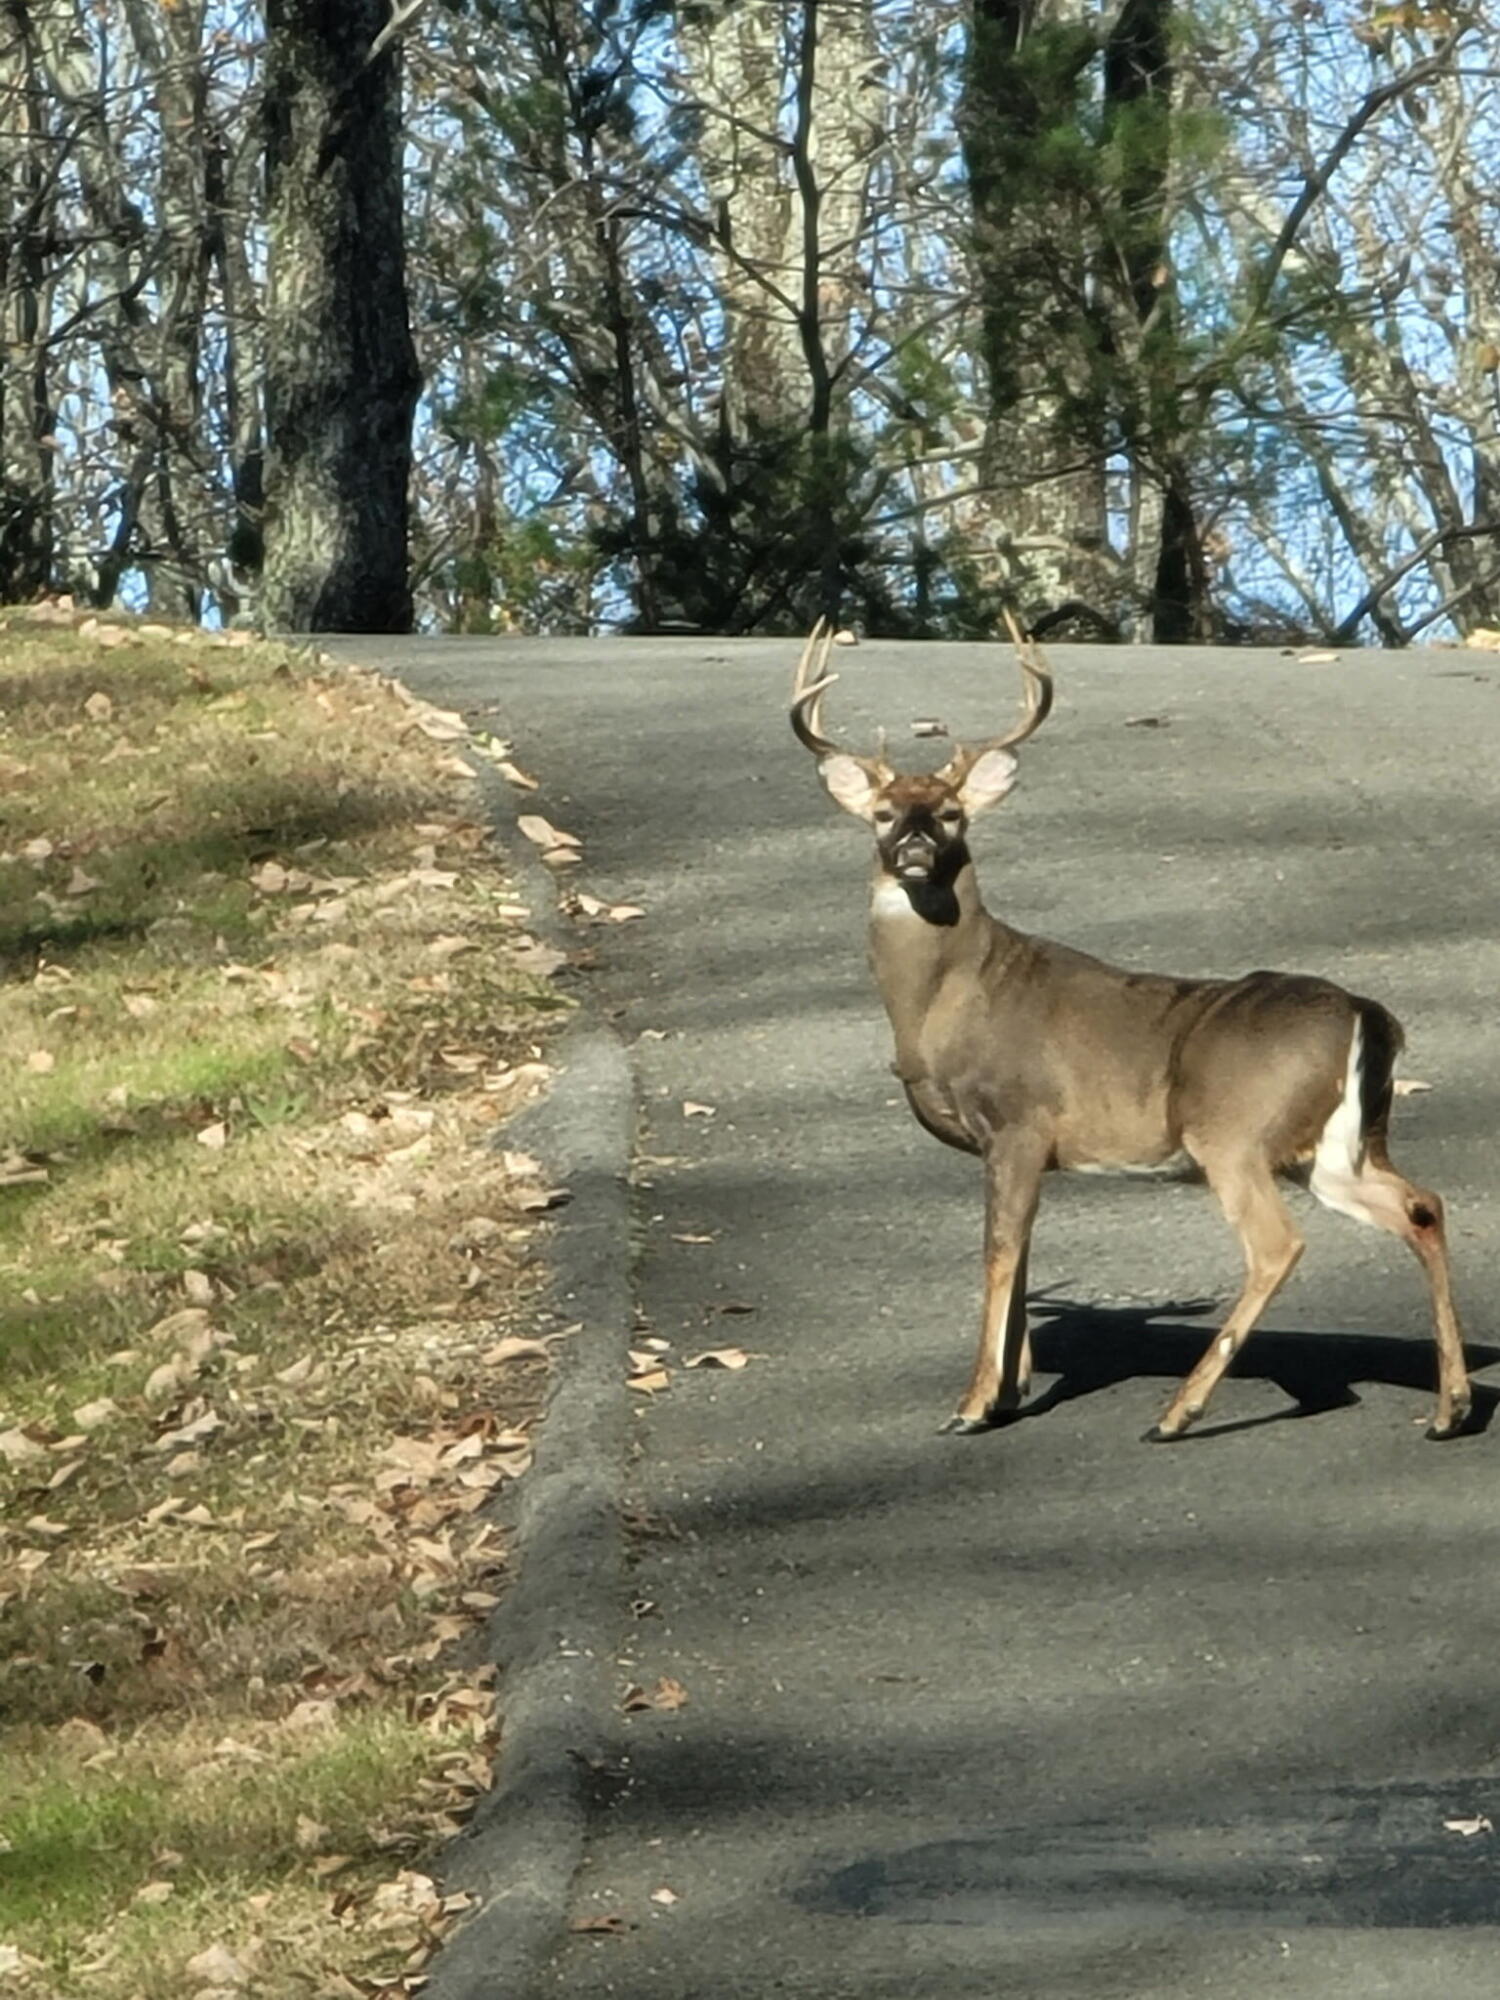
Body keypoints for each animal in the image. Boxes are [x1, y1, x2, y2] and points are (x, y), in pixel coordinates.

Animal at [790, 617, 1472, 1443]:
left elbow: (997, 1251)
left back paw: (1177, 1414)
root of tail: (1362, 1011)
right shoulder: (1027, 1147)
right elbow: (1021, 1249)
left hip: (1234, 1132)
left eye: (951, 813)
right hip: (1334, 1146)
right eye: (885, 814)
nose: (917, 843)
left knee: (1277, 1246)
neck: (940, 1006)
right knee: (1421, 1205)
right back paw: (1451, 1408)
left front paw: (974, 1404)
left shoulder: (1016, 1120)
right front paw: (1013, 1387)